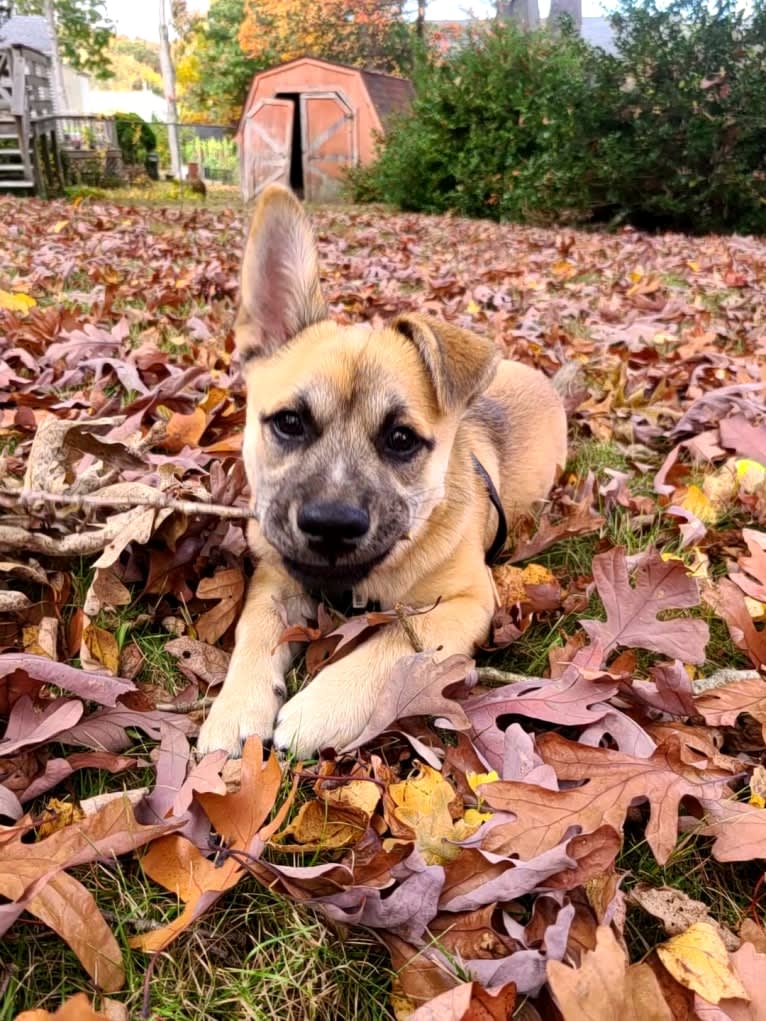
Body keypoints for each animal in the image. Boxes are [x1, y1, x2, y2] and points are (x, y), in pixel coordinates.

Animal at [198, 185, 571, 759]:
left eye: (401, 440)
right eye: (289, 422)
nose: (330, 526)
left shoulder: (467, 600)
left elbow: (395, 643)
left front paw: (321, 707)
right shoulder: (274, 578)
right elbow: (254, 629)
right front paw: (235, 707)